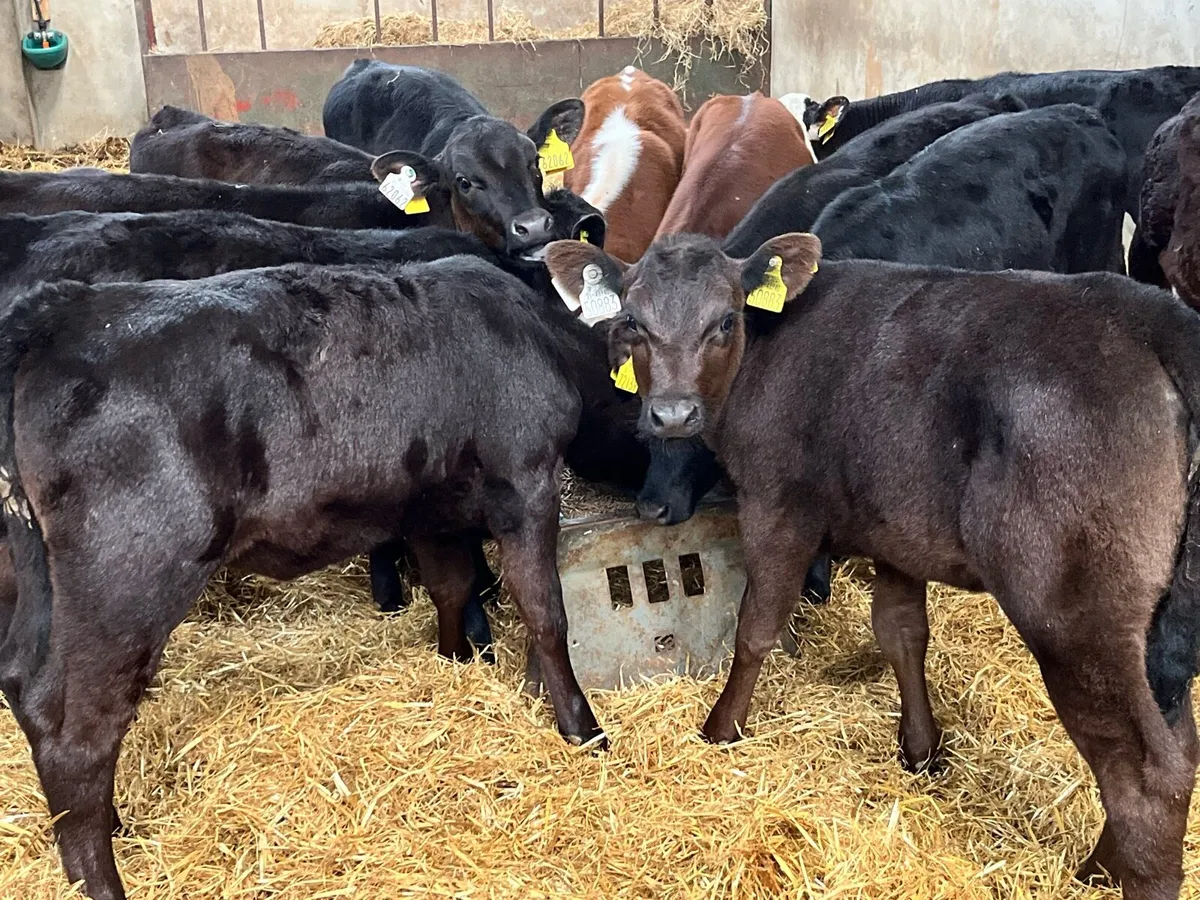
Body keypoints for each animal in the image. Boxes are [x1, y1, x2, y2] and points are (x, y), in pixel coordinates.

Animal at [0, 255, 647, 899]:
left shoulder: (429, 505)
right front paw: (584, 729)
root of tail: (62, 311)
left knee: (26, 684)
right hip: (128, 575)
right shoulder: (526, 483)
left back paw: (104, 824)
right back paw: (101, 879)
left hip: (37, 571)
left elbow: (452, 586)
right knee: (79, 735)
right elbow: (545, 612)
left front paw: (454, 663)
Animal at [546, 230, 1200, 900]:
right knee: (1176, 741)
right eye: (633, 321)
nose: (673, 414)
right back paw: (1100, 869)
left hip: (1075, 613)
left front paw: (721, 729)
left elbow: (756, 627)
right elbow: (901, 632)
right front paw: (921, 752)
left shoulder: (779, 502)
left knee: (1148, 769)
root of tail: (1148, 315)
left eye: (725, 320)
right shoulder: (896, 529)